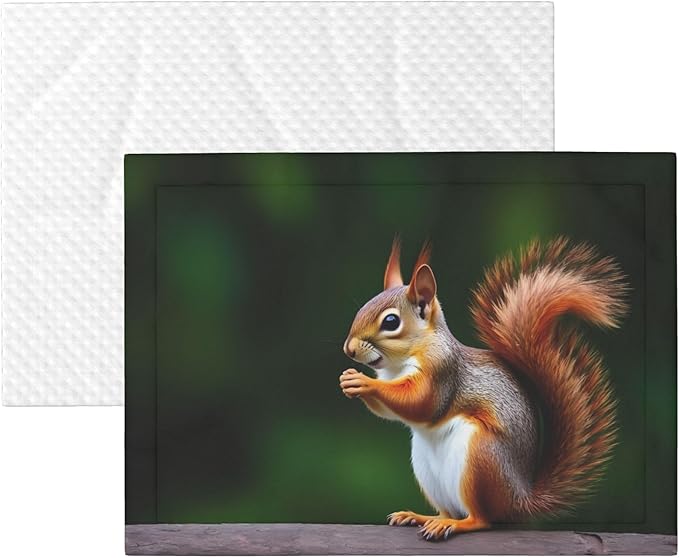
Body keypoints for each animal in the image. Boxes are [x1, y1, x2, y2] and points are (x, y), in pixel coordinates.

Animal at [339, 237, 627, 541]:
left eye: (391, 322)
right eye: (361, 310)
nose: (349, 349)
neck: (397, 365)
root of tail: (520, 501)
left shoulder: (442, 371)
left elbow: (422, 402)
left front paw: (365, 382)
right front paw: (349, 380)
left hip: (481, 459)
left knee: (482, 519)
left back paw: (456, 524)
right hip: (427, 469)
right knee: (448, 510)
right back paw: (421, 517)